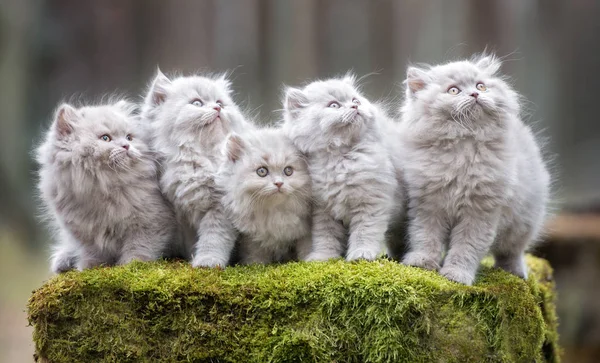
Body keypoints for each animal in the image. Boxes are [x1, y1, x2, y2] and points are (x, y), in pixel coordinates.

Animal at [35, 100, 177, 272]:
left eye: (129, 137)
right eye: (105, 138)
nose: (126, 146)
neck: (103, 186)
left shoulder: (150, 222)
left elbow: (139, 247)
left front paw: (132, 265)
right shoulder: (85, 232)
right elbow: (94, 253)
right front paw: (90, 267)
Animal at [142, 69, 253, 268]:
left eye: (220, 103)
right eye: (197, 103)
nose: (217, 109)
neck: (195, 158)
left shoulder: (219, 207)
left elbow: (214, 239)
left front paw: (207, 262)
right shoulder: (177, 214)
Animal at [217, 128, 312, 264]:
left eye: (288, 171)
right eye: (262, 171)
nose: (279, 183)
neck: (274, 212)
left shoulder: (304, 233)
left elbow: (306, 248)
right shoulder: (252, 240)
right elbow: (256, 257)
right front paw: (255, 265)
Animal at [284, 74, 400, 262]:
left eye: (355, 100)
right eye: (334, 105)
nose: (355, 106)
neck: (338, 159)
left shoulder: (371, 201)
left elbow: (364, 232)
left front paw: (361, 254)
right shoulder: (322, 209)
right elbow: (326, 236)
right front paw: (322, 257)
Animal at [400, 55, 552, 286]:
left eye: (481, 85)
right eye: (454, 90)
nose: (475, 94)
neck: (463, 146)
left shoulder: (480, 212)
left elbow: (466, 247)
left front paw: (456, 275)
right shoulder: (428, 205)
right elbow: (424, 237)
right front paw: (422, 262)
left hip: (524, 221)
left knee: (512, 252)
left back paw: (515, 272)